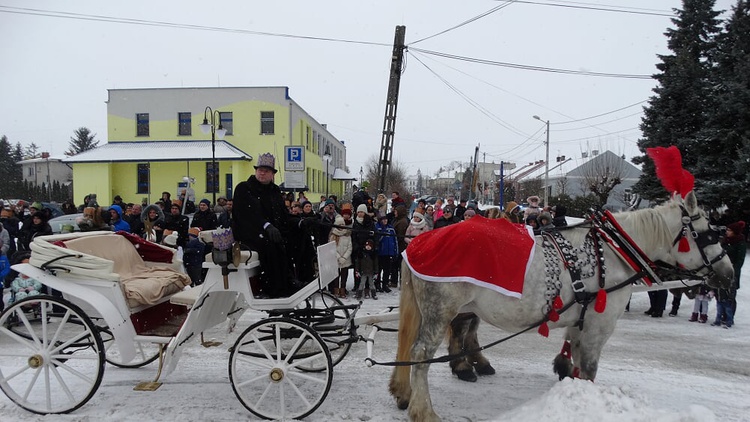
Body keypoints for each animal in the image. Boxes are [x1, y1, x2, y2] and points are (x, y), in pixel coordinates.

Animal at [390, 191, 736, 422]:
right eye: (706, 234)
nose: (729, 275)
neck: (614, 251)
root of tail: (419, 242)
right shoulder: (600, 323)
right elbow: (590, 367)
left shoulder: (583, 316)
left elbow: (574, 348)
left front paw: (566, 372)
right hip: (441, 308)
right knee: (421, 353)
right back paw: (425, 410)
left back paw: (409, 390)